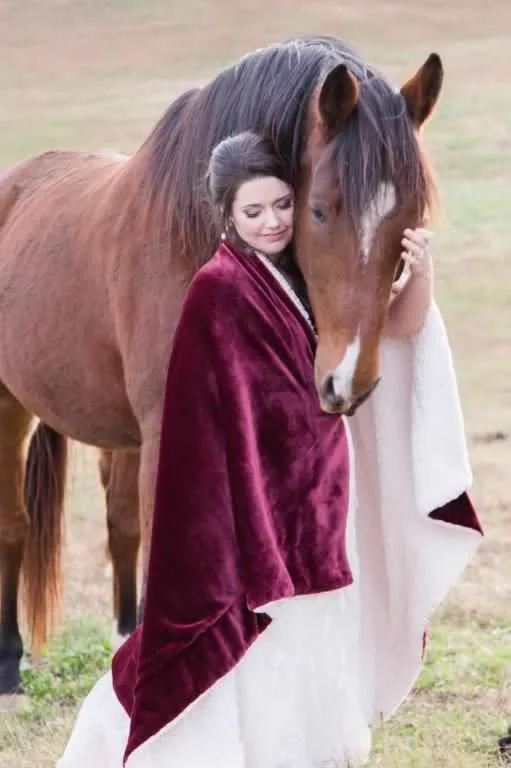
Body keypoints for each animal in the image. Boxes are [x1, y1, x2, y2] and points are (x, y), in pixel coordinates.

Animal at [0, 34, 442, 696]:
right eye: (319, 210)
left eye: (411, 217)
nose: (349, 380)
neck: (191, 236)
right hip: (11, 406)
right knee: (16, 522)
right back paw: (9, 663)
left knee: (119, 522)